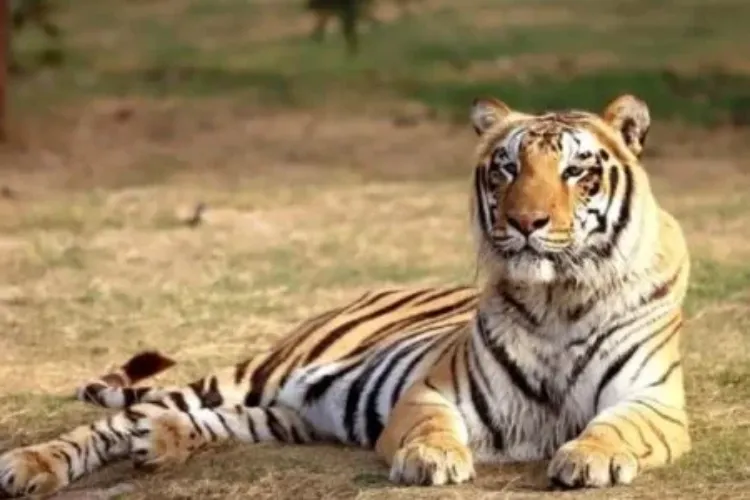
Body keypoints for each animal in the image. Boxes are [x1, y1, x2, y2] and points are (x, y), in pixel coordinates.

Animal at [0, 93, 690, 497]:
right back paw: (32, 465)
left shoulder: (653, 400)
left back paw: (162, 445)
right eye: (506, 168)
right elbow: (431, 427)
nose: (525, 223)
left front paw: (591, 458)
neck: (558, 299)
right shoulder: (433, 391)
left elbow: (616, 427)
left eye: (576, 170)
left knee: (194, 423)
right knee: (111, 422)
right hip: (252, 375)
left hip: (276, 414)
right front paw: (431, 459)